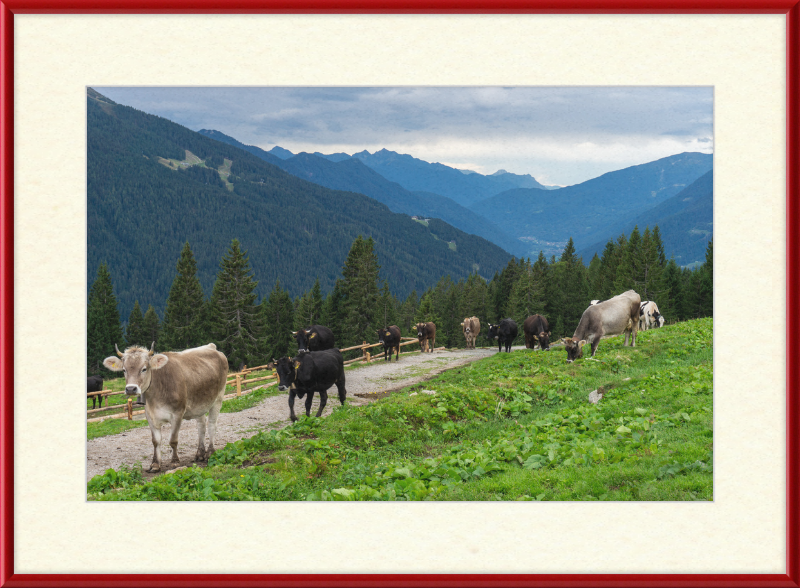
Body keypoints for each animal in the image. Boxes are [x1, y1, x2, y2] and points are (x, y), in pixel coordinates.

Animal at [103, 340, 227, 474]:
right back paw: (200, 454)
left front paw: (175, 462)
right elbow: (156, 441)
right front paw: (155, 464)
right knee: (201, 426)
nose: (131, 389)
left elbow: (173, 440)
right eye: (124, 370)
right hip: (199, 404)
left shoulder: (178, 414)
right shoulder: (150, 416)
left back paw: (210, 453)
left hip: (218, 398)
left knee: (212, 425)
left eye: (144, 369)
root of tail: (211, 347)